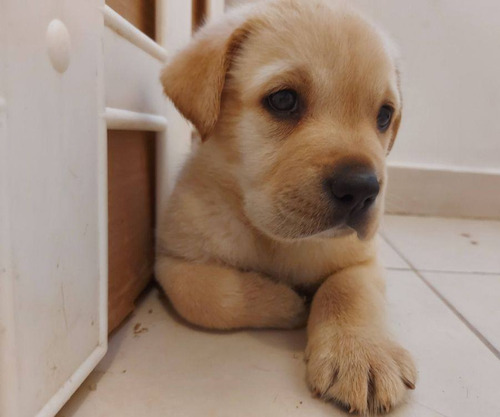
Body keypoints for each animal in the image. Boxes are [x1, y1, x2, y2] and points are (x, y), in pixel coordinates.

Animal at [158, 0, 416, 412]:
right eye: (283, 100)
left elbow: (347, 291)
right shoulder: (172, 261)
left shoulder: (362, 259)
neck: (273, 238)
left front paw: (362, 352)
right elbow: (209, 298)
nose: (362, 189)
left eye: (384, 115)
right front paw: (284, 302)